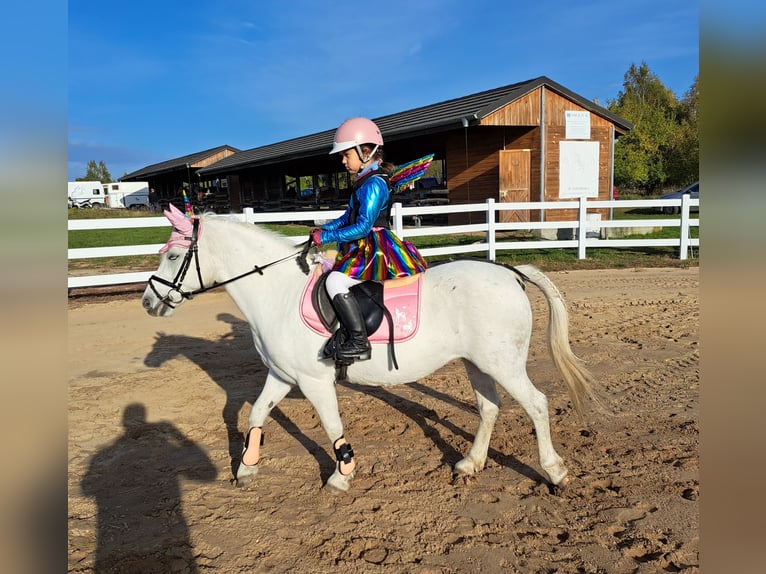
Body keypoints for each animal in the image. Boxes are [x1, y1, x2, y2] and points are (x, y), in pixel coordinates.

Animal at [141, 209, 604, 498]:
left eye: (174, 255)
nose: (148, 302)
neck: (278, 294)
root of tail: (509, 273)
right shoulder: (282, 377)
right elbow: (256, 414)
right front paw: (247, 469)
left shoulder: (314, 381)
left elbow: (331, 427)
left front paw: (341, 477)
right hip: (478, 364)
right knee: (490, 408)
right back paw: (470, 464)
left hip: (504, 364)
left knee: (537, 404)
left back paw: (555, 472)